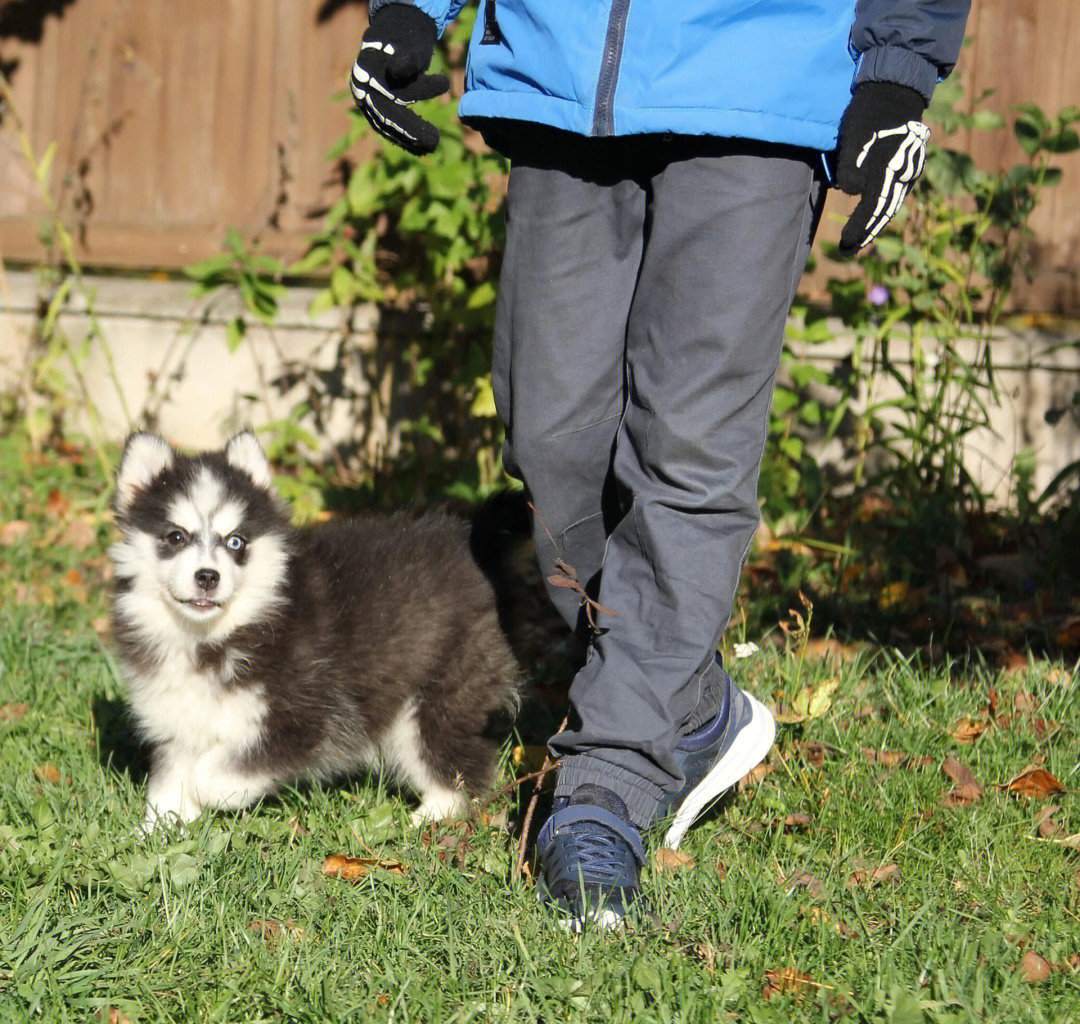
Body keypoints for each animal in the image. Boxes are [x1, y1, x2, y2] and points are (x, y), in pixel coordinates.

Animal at [108, 432, 518, 833]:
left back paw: (428, 818)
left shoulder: (304, 720)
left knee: (461, 764)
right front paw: (158, 830)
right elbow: (171, 778)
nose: (208, 576)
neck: (211, 637)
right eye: (176, 537)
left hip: (436, 695)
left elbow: (217, 773)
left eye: (236, 542)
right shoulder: (175, 720)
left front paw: (204, 793)